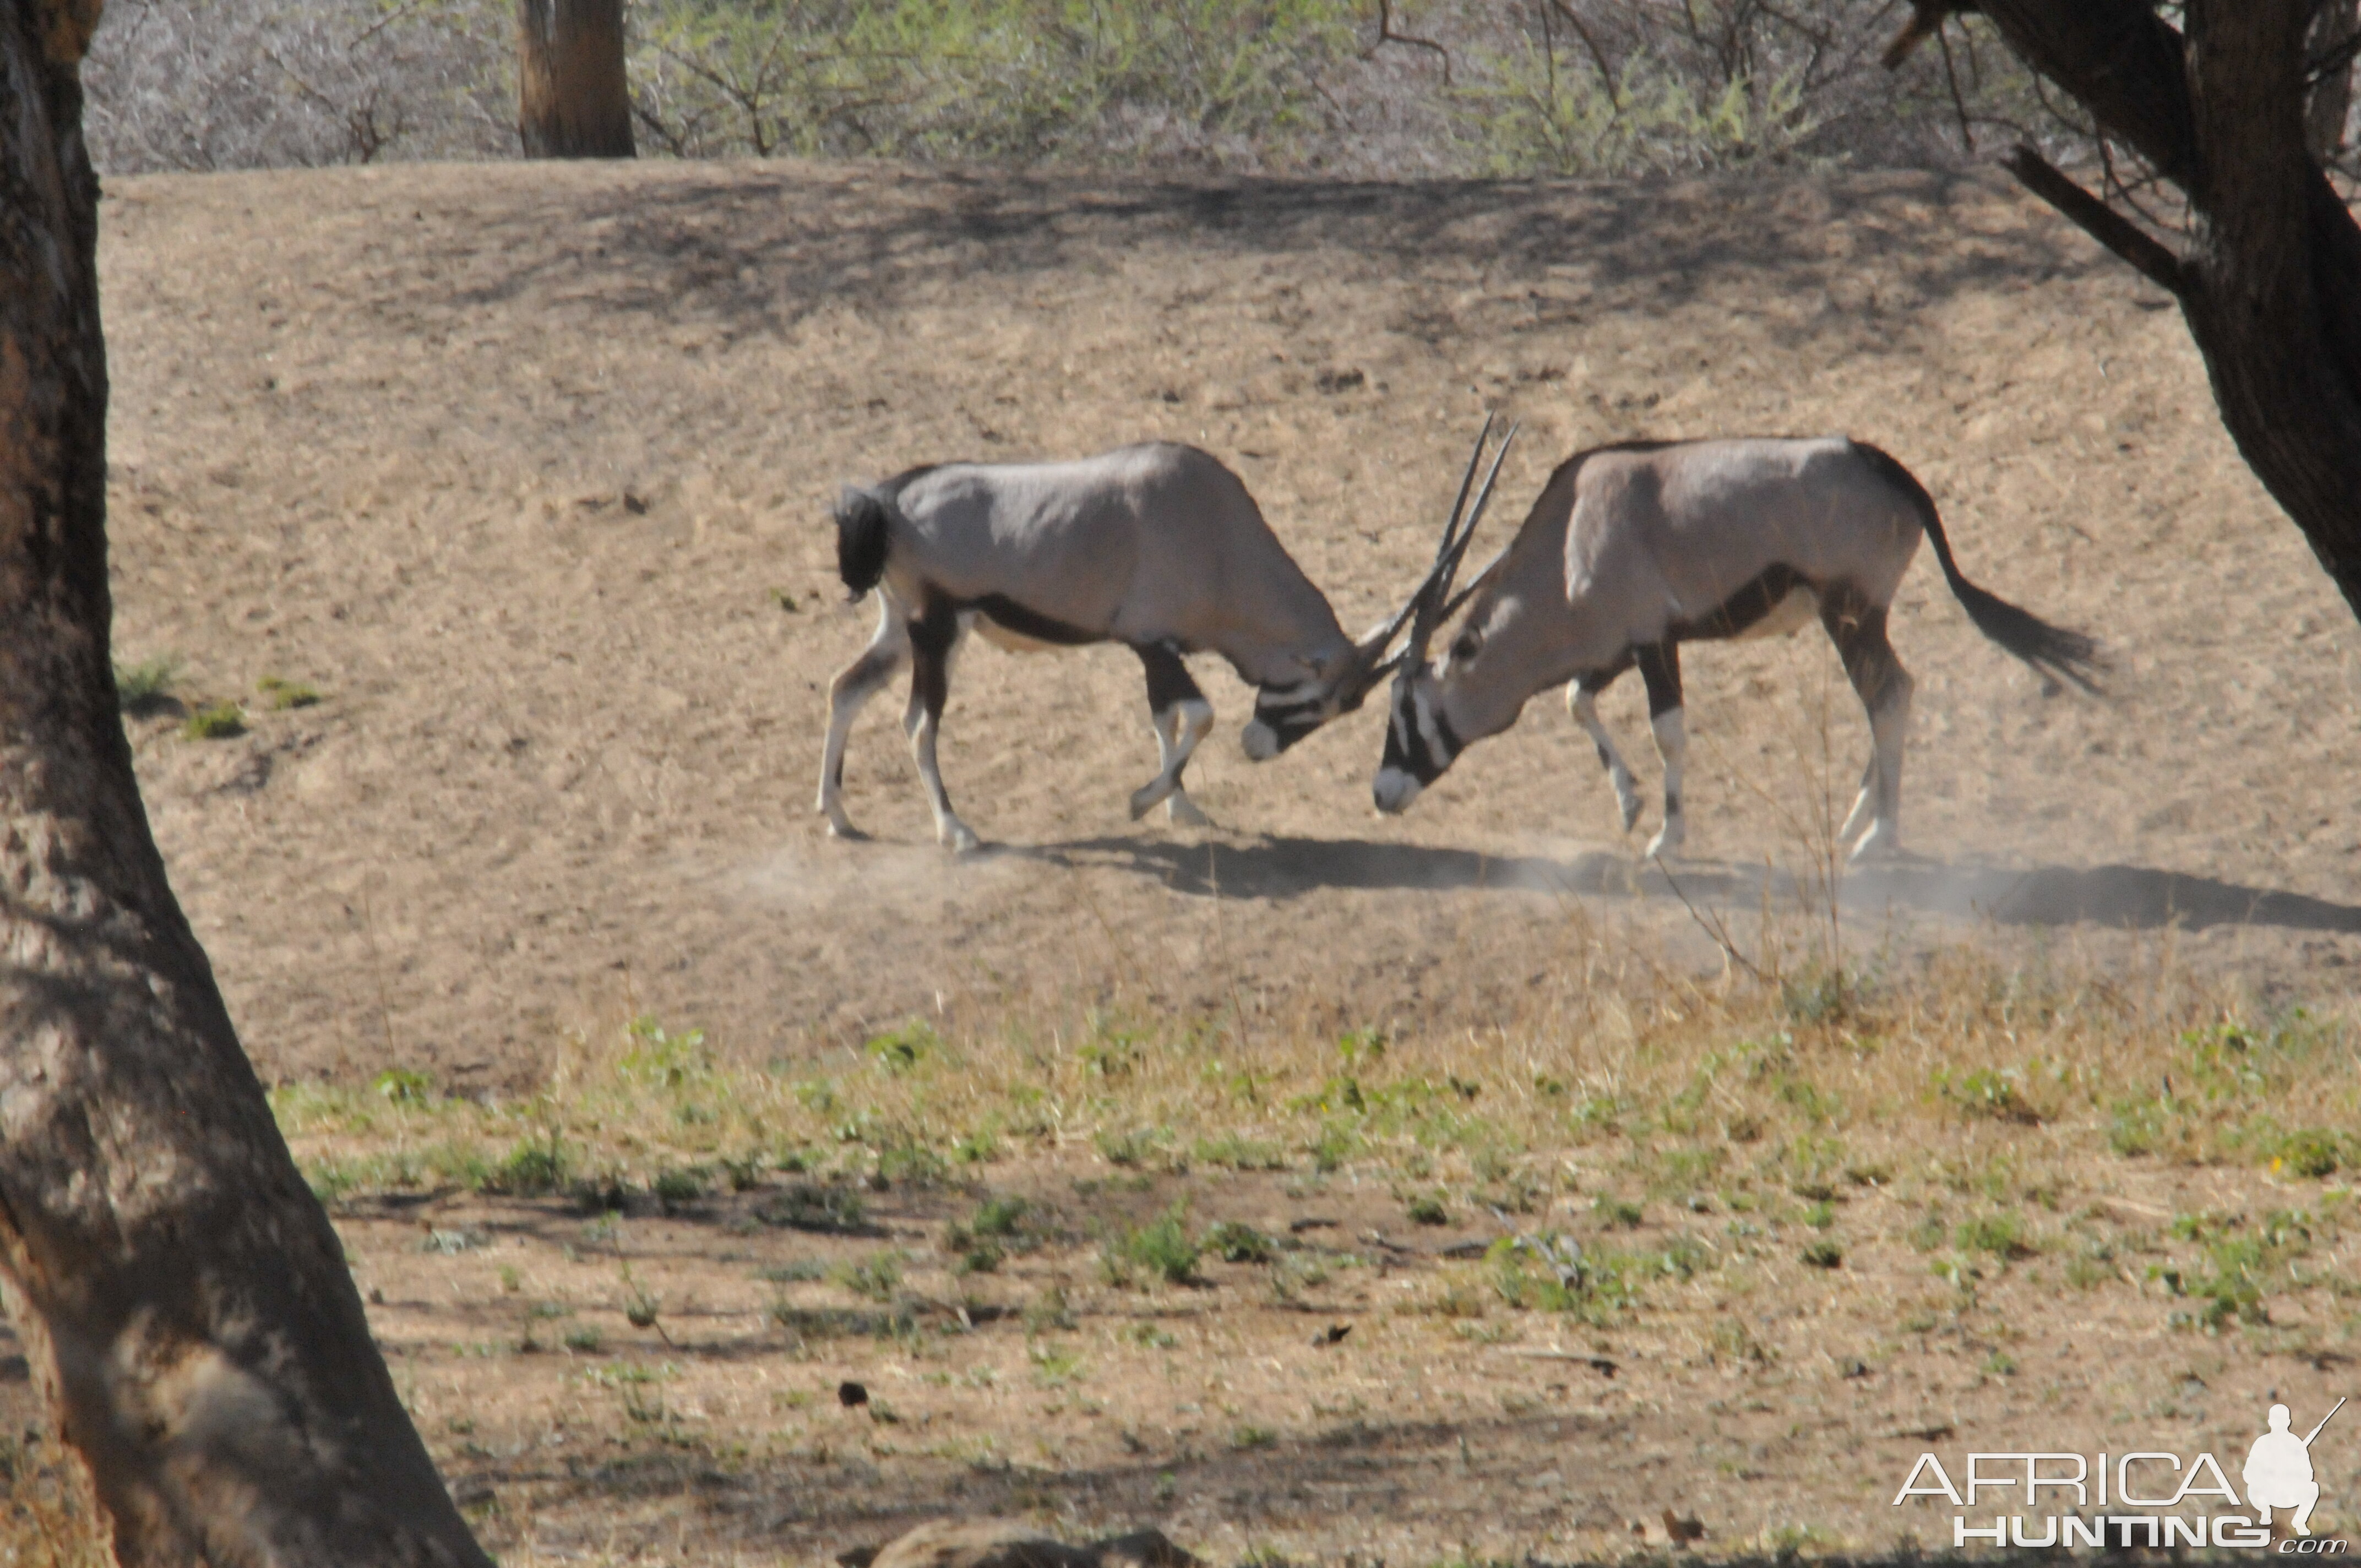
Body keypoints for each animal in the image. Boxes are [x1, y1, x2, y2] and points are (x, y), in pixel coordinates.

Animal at [822, 442, 1397, 850]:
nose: (1257, 749)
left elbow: (1166, 718)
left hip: (902, 629)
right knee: (919, 721)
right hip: (937, 630)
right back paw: (955, 829)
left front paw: (1180, 809)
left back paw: (838, 816)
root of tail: (888, 499)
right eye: (1321, 703)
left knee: (846, 688)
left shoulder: (1159, 651)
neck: (1216, 532)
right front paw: (1143, 801)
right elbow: (1200, 714)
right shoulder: (1151, 643)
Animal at [1369, 434, 2106, 864]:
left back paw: (1880, 834)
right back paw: (1856, 820)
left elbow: (1667, 732)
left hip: (1850, 616)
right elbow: (1578, 701)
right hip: (1860, 621)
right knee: (1895, 691)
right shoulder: (1614, 650)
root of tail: (1884, 466)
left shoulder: (1653, 643)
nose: (1381, 794)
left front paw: (1668, 837)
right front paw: (1630, 804)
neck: (1570, 535)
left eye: (1406, 710)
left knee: (1888, 694)